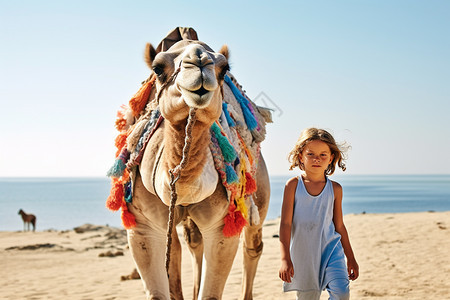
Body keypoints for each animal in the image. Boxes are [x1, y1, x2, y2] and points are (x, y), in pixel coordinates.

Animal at [111, 27, 270, 298]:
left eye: (224, 68)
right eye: (158, 68)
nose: (199, 60)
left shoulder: (221, 225)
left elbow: (212, 293)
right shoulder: (142, 225)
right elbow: (161, 289)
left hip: (256, 195)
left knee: (252, 245)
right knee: (188, 244)